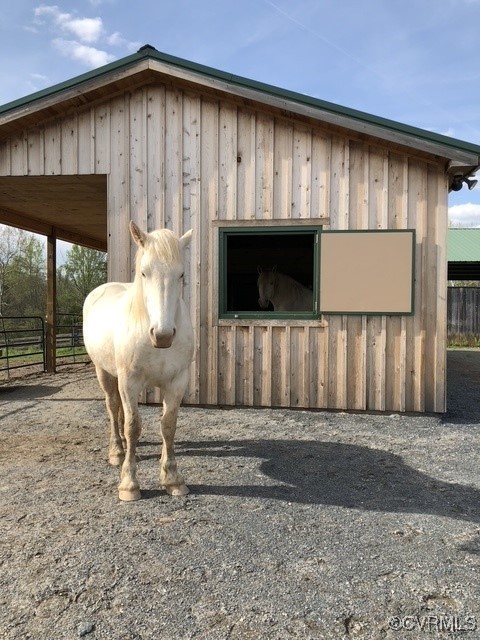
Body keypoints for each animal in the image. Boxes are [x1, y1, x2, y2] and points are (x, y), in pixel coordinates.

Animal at [83, 221, 194, 501]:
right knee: (113, 407)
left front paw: (172, 478)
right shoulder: (129, 381)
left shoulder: (177, 381)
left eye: (181, 275)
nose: (163, 335)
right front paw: (129, 484)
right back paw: (117, 450)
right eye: (144, 273)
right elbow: (133, 426)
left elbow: (168, 425)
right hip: (105, 372)